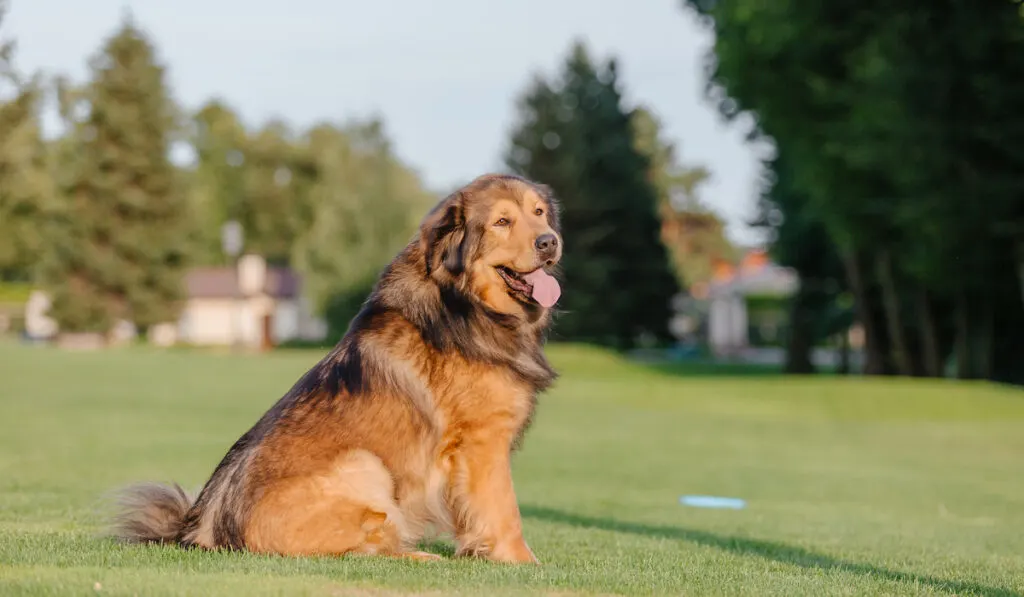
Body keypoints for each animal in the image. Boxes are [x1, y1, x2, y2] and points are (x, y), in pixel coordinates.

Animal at [112, 174, 569, 565]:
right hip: (365, 464)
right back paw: (418, 555)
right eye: (502, 222)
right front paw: (523, 563)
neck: (463, 301)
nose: (549, 242)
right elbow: (504, 510)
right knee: (363, 548)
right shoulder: (482, 442)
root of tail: (206, 529)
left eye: (539, 213)